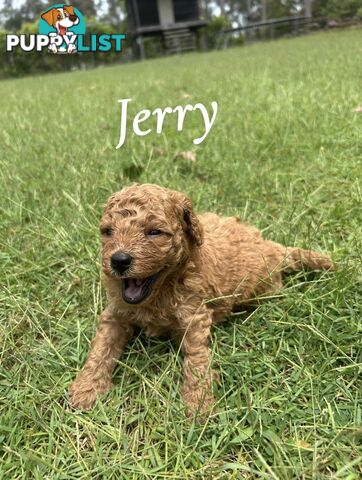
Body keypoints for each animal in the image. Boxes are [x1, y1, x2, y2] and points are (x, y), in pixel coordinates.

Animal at [68, 184, 334, 416]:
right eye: (107, 232)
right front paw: (86, 387)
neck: (161, 291)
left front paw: (198, 405)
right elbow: (101, 348)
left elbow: (195, 361)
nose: (119, 260)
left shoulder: (195, 317)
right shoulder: (115, 314)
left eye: (154, 232)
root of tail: (273, 248)